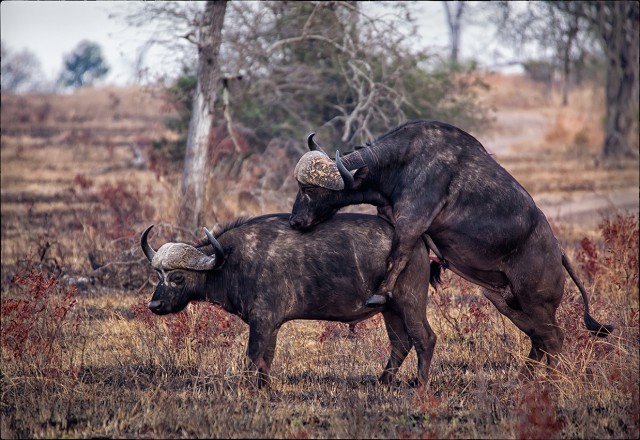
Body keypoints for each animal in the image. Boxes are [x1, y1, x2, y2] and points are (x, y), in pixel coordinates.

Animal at [141, 213, 436, 384]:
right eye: (158, 274)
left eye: (178, 277)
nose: (155, 305)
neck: (231, 261)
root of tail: (419, 242)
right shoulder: (271, 325)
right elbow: (266, 358)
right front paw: (263, 387)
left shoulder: (262, 320)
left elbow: (253, 356)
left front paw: (247, 387)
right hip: (390, 310)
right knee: (400, 343)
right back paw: (382, 381)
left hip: (409, 302)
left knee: (424, 338)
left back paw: (419, 384)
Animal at [292, 119, 616, 372]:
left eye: (308, 189)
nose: (296, 221)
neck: (402, 163)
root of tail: (558, 252)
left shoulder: (412, 222)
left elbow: (397, 256)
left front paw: (379, 294)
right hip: (506, 299)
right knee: (539, 340)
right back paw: (527, 376)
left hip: (536, 301)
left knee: (553, 339)